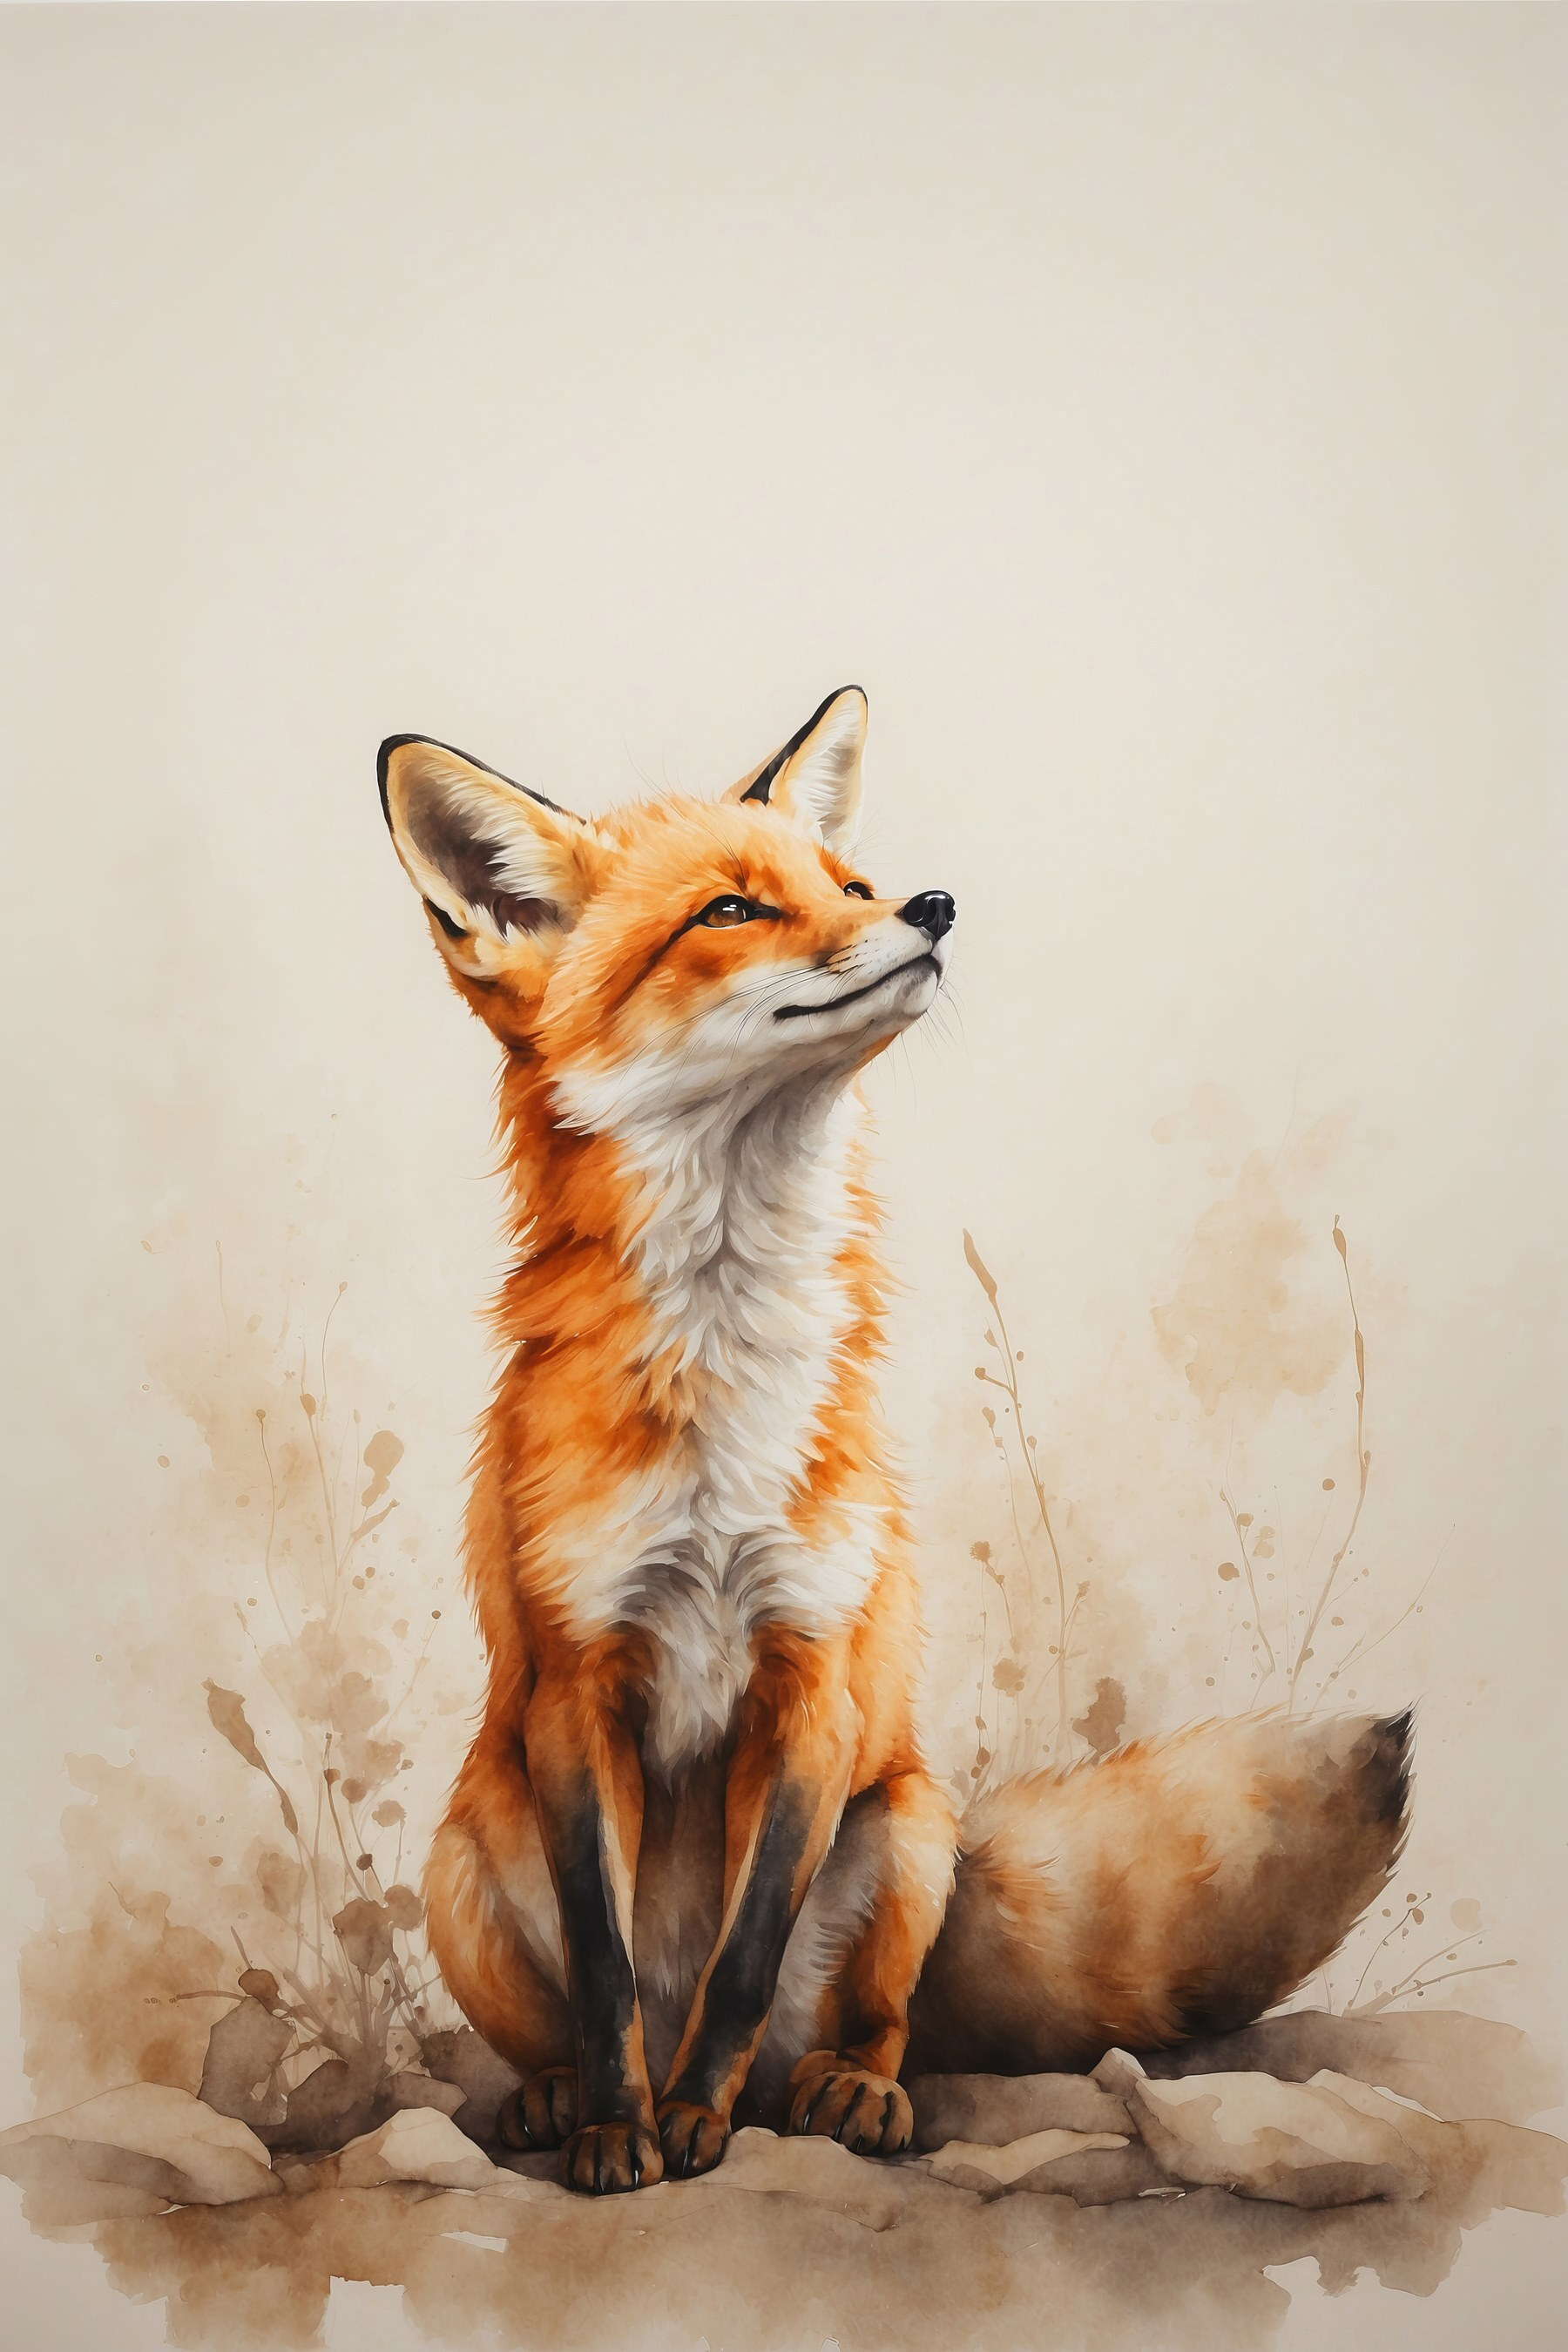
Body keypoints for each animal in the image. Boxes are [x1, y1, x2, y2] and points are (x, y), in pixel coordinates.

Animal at [377, 685, 1412, 2197]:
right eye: (732, 909)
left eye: (850, 886)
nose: (930, 904)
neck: (725, 1384)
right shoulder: (578, 1687)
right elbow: (607, 1969)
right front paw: (623, 2130)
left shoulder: (816, 1676)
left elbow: (744, 1965)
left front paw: (691, 2124)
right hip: (464, 1852)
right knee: (565, 2020)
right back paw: (560, 2100)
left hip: (911, 1830)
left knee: (865, 2026)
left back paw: (833, 2093)